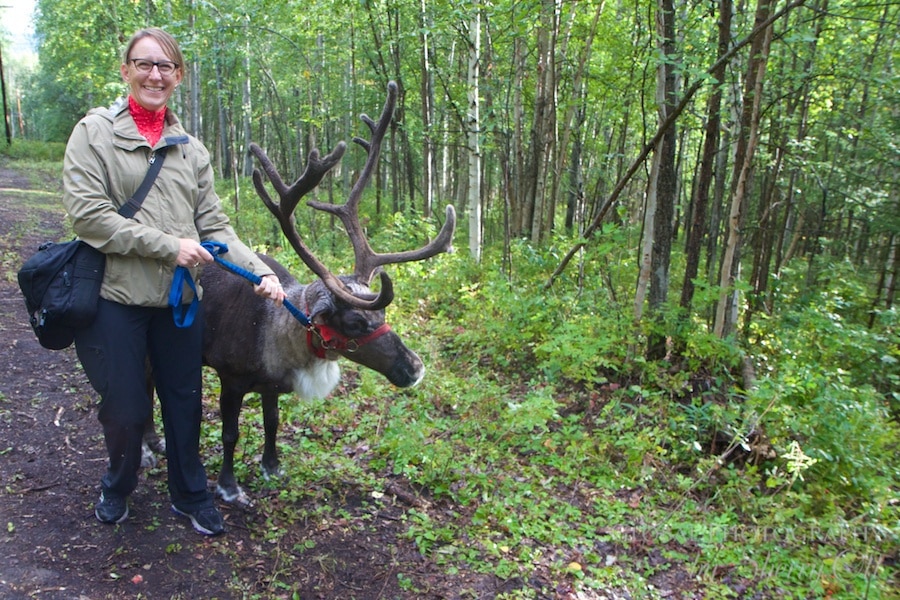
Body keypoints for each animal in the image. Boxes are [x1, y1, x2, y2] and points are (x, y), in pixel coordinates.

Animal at [195, 81, 455, 506]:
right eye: (354, 322)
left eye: (384, 317)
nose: (415, 367)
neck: (276, 334)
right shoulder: (230, 378)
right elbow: (230, 433)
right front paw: (229, 485)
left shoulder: (271, 387)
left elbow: (272, 422)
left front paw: (271, 466)